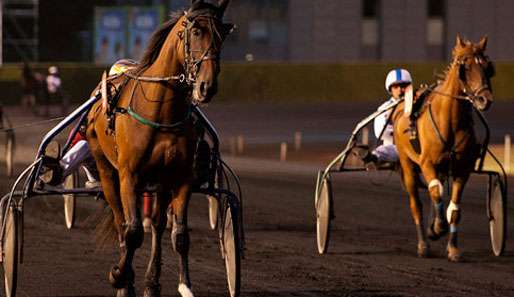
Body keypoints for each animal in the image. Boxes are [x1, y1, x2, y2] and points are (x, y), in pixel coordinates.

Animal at [85, 1, 232, 294]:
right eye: (196, 31)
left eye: (222, 35)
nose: (207, 86)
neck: (161, 112)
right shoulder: (129, 175)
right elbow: (132, 232)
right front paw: (119, 276)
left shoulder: (181, 177)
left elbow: (180, 235)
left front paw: (183, 285)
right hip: (107, 171)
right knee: (121, 221)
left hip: (161, 182)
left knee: (157, 224)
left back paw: (151, 282)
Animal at [392, 36, 492, 262]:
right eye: (465, 66)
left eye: (487, 67)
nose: (485, 99)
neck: (451, 120)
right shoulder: (427, 164)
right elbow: (436, 192)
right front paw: (437, 227)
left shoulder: (462, 169)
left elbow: (454, 209)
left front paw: (453, 249)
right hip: (407, 163)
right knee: (416, 204)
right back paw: (423, 244)